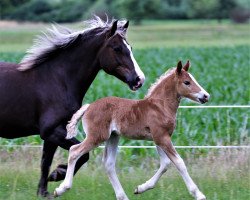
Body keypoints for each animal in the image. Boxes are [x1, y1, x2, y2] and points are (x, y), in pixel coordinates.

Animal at [0, 16, 145, 197]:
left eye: (130, 47)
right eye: (117, 48)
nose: (139, 79)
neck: (58, 80)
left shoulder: (52, 133)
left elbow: (46, 162)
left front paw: (46, 189)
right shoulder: (51, 131)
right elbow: (81, 154)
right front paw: (58, 175)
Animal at [54, 61, 209, 200]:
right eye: (187, 82)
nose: (206, 96)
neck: (160, 106)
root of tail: (89, 106)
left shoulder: (159, 138)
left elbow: (165, 163)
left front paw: (141, 188)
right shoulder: (161, 137)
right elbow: (179, 163)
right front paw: (199, 194)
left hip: (113, 137)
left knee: (109, 164)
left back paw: (122, 196)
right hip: (97, 136)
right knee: (74, 150)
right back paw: (62, 188)